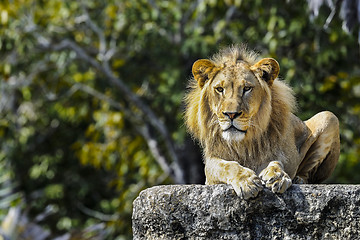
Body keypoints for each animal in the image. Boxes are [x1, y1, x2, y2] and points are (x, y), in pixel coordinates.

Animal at [186, 44, 340, 199]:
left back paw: (299, 179)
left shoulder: (276, 153)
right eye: (219, 89)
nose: (231, 114)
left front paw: (277, 176)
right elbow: (228, 166)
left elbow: (276, 162)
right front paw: (246, 181)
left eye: (247, 88)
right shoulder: (210, 167)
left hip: (329, 116)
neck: (242, 143)